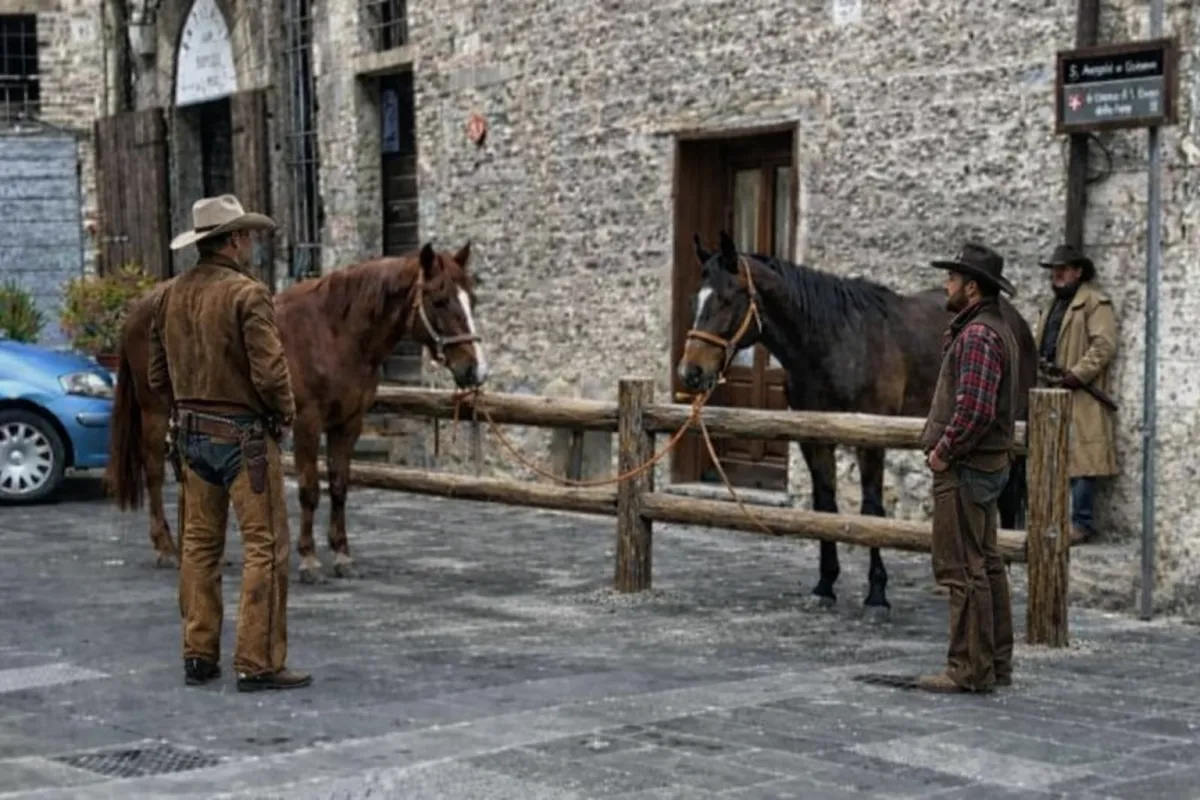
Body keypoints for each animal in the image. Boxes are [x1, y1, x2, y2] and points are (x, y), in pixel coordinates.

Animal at [105, 242, 487, 584]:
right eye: (439, 300)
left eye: (472, 299)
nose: (475, 370)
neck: (333, 335)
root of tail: (138, 309)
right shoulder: (307, 423)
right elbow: (309, 490)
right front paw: (309, 560)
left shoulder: (349, 424)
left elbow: (338, 487)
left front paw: (342, 556)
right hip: (154, 411)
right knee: (155, 473)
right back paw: (167, 549)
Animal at [678, 231, 1036, 621]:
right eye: (695, 299)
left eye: (727, 300)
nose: (691, 373)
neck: (835, 342)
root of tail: (1015, 319)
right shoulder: (814, 440)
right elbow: (826, 508)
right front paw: (825, 585)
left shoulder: (870, 442)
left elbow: (872, 510)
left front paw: (877, 594)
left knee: (1004, 500)